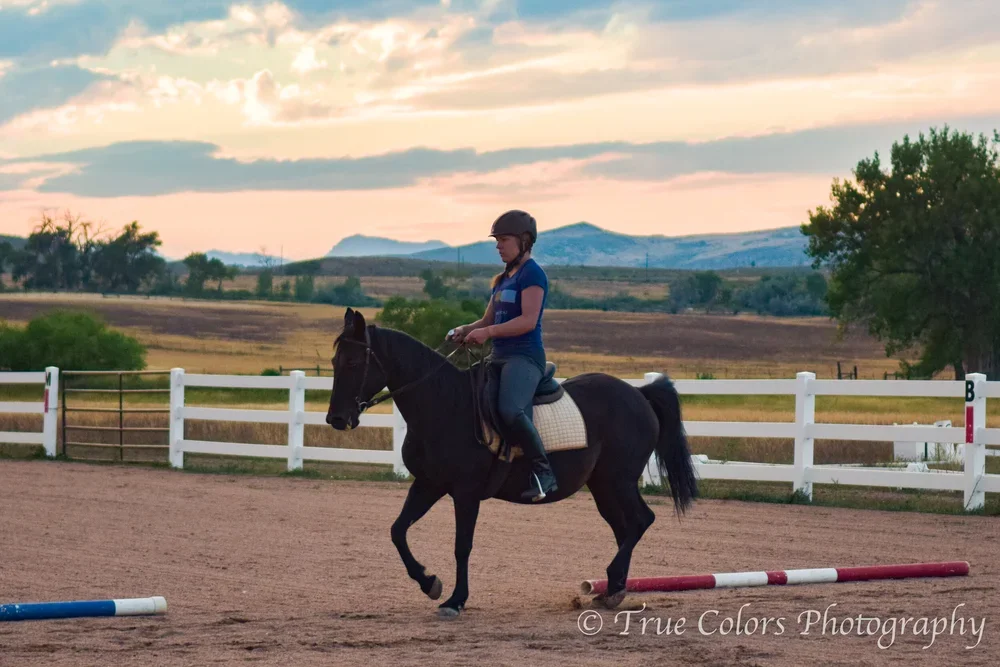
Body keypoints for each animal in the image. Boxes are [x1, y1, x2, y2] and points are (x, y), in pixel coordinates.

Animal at [325, 307, 698, 619]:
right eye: (334, 361)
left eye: (354, 363)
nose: (336, 419)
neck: (445, 404)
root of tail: (639, 394)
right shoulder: (429, 484)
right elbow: (397, 530)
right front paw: (430, 583)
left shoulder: (465, 492)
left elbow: (462, 546)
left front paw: (455, 600)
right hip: (603, 486)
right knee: (624, 527)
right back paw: (613, 590)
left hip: (619, 480)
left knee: (641, 520)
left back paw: (612, 585)